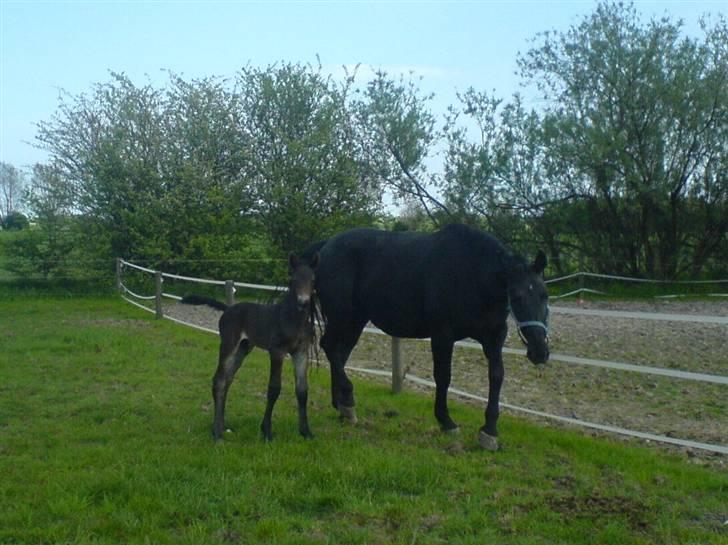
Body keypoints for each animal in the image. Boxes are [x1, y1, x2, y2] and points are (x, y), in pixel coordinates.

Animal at [182, 253, 318, 440]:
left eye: (312, 279)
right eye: (293, 279)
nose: (303, 302)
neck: (293, 319)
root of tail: (228, 309)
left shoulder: (301, 352)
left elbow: (302, 390)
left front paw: (306, 432)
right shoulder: (277, 351)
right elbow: (274, 389)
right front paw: (266, 431)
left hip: (244, 348)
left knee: (227, 380)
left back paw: (222, 426)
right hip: (229, 345)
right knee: (219, 380)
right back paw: (217, 433)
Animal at [302, 223, 544, 448]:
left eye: (543, 296)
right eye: (517, 297)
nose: (540, 351)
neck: (470, 273)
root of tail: (327, 245)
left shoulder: (494, 338)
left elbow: (496, 376)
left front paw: (489, 431)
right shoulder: (443, 336)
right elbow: (443, 376)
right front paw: (446, 421)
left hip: (355, 321)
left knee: (339, 354)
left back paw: (341, 406)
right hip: (342, 317)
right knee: (330, 347)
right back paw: (348, 403)